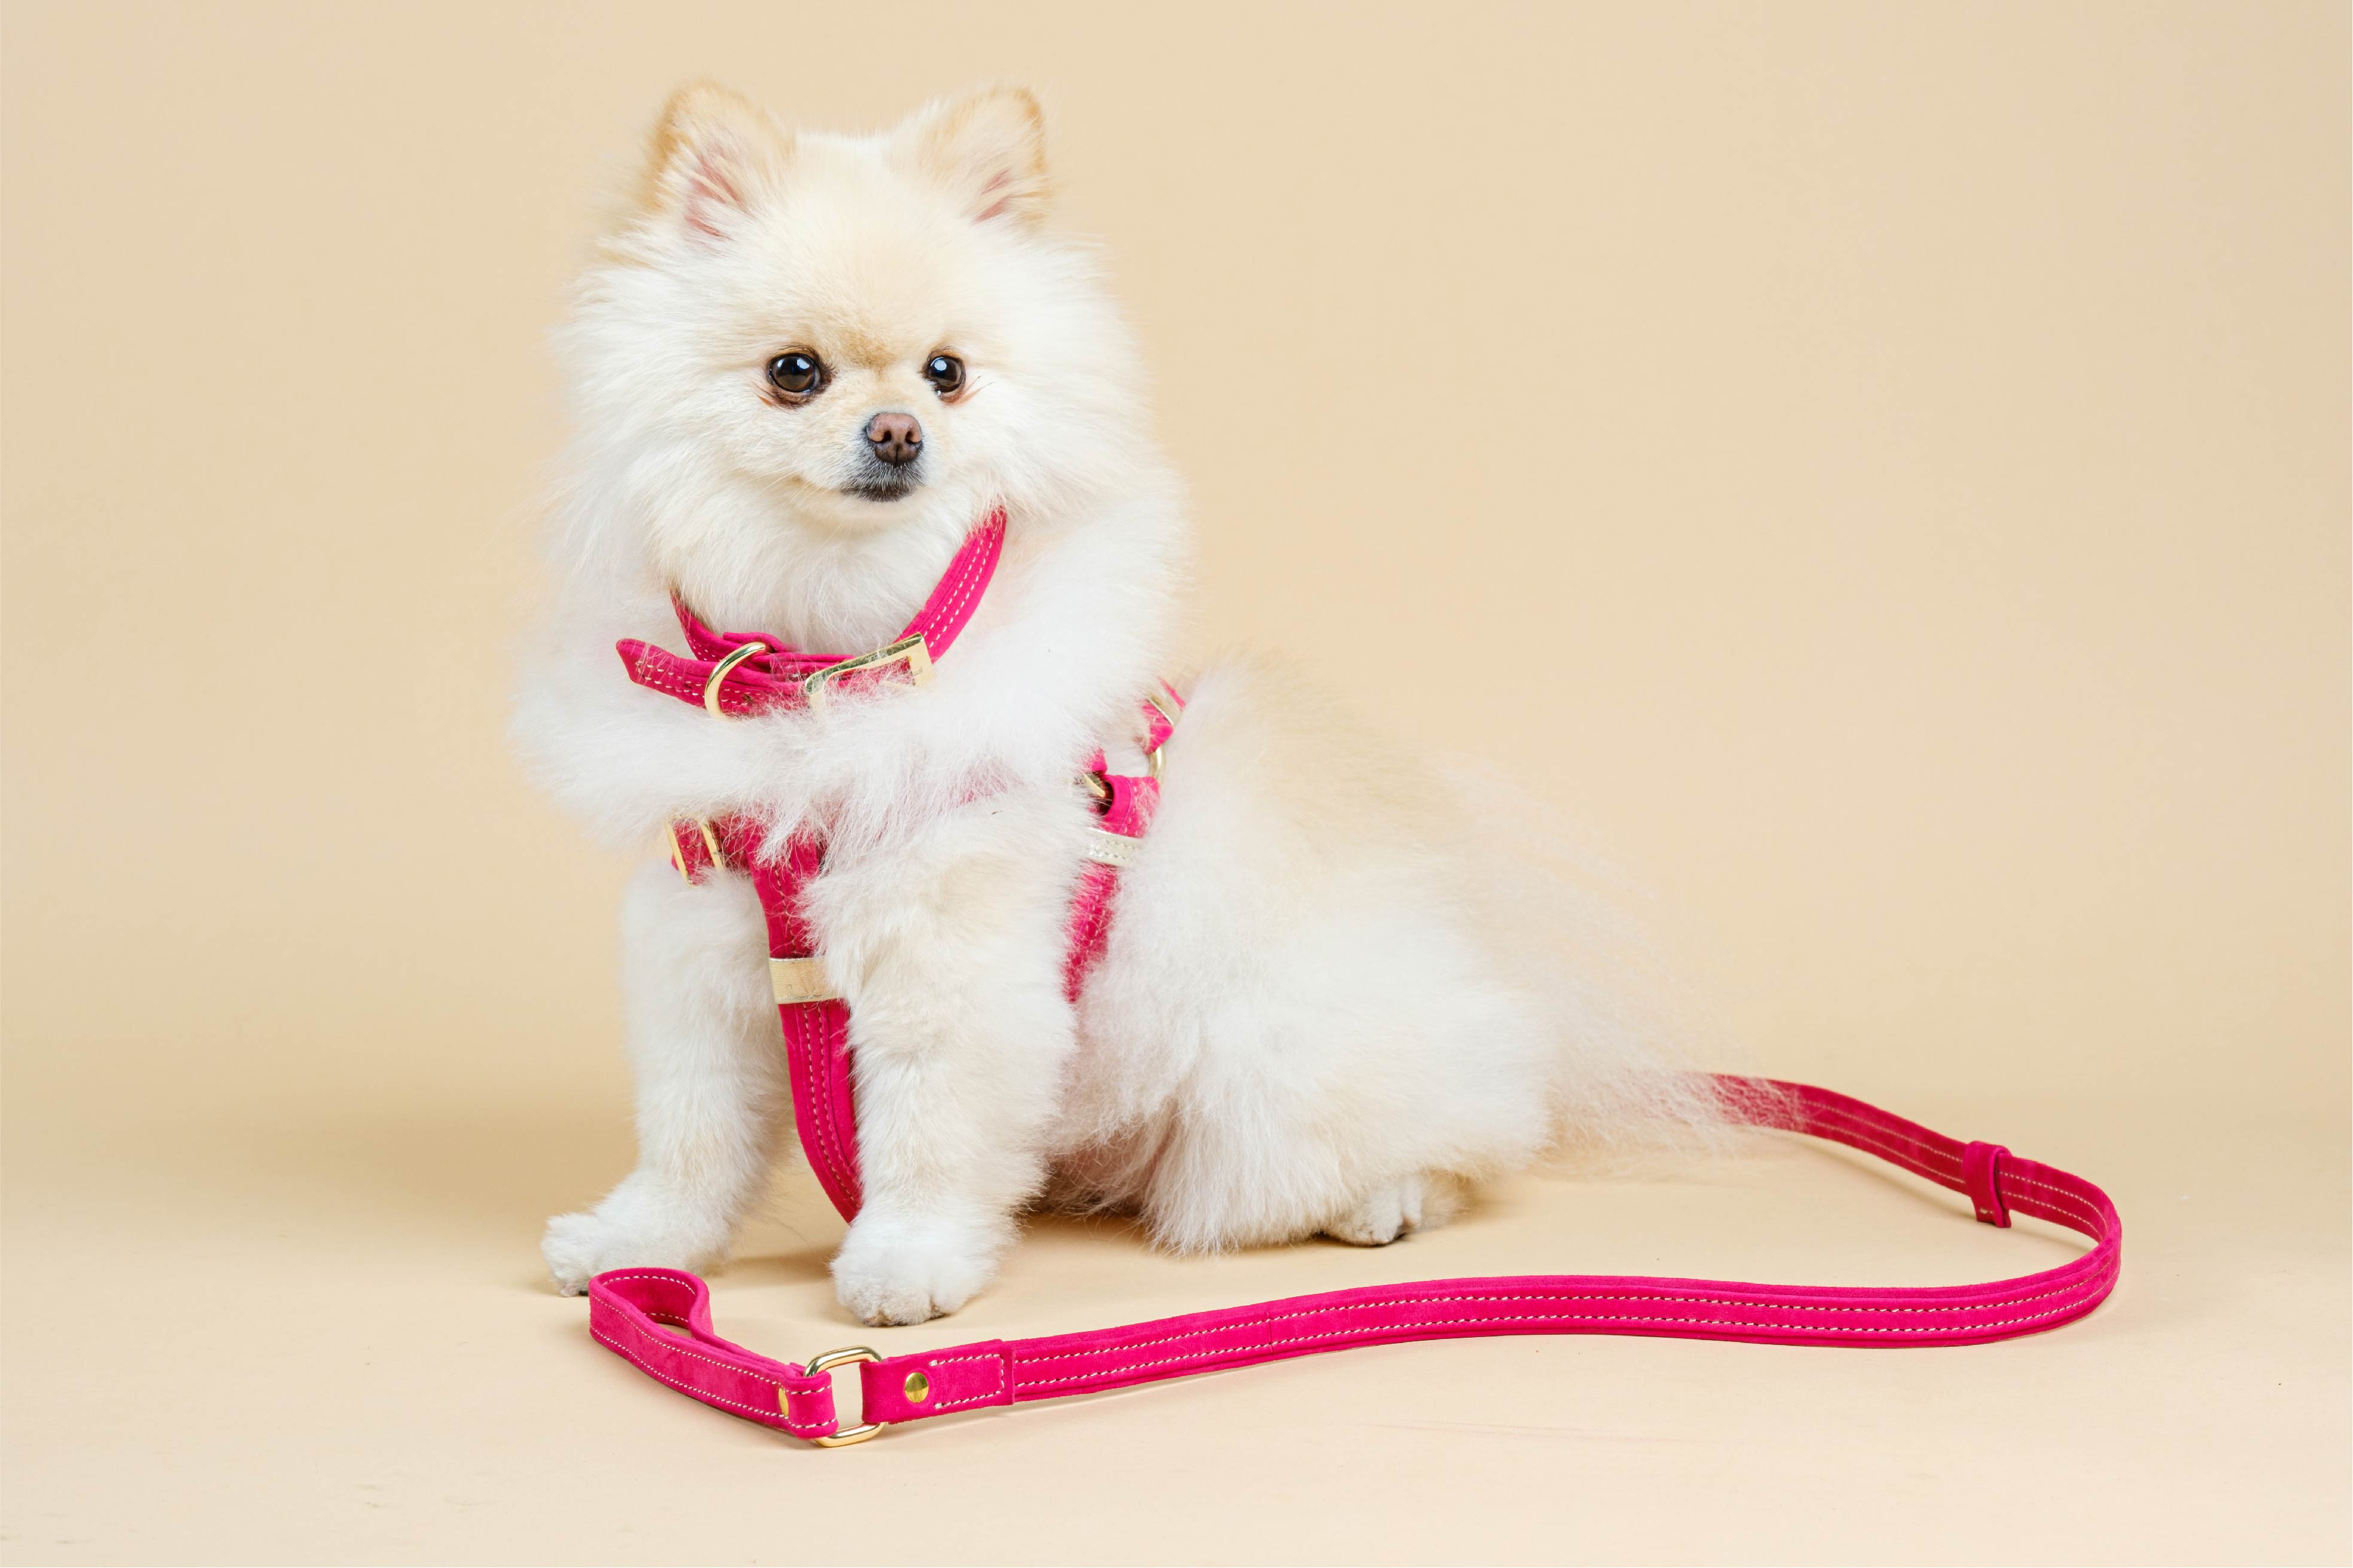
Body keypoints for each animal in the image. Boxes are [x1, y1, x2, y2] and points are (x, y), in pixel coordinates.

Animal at [515, 83, 1703, 1326]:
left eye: (946, 374)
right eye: (795, 372)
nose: (898, 434)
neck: (832, 661)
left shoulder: (954, 958)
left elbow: (924, 1138)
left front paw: (908, 1261)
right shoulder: (705, 948)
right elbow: (690, 1136)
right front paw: (637, 1245)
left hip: (1275, 1070)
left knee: (1455, 1138)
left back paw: (1386, 1200)